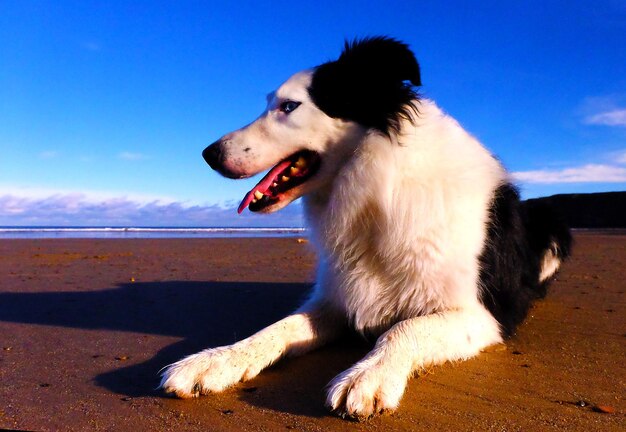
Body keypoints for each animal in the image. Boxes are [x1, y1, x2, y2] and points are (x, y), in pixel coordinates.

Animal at [157, 36, 572, 418]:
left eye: (289, 106)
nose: (208, 154)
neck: (375, 194)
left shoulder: (480, 313)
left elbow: (404, 328)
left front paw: (368, 375)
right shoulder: (338, 298)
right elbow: (278, 327)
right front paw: (216, 360)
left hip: (553, 226)